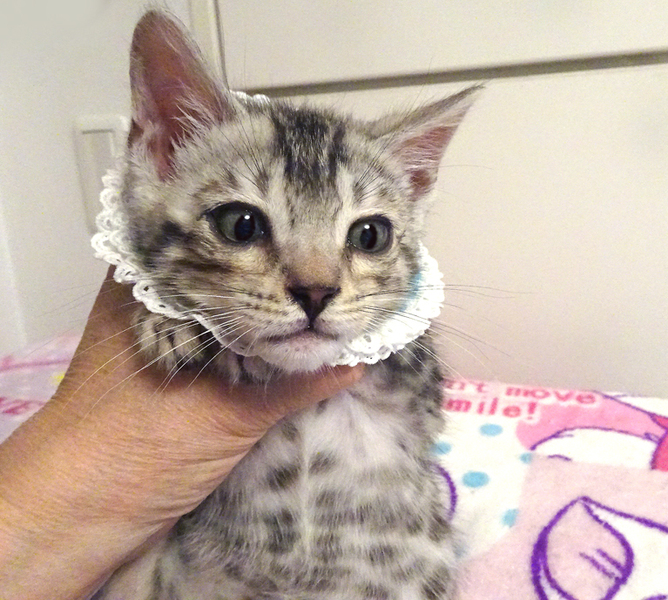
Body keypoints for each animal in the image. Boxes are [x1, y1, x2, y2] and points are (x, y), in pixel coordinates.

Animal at [97, 10, 478, 600]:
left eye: (370, 235)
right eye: (240, 224)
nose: (315, 292)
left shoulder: (423, 405)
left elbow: (404, 350)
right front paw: (165, 322)